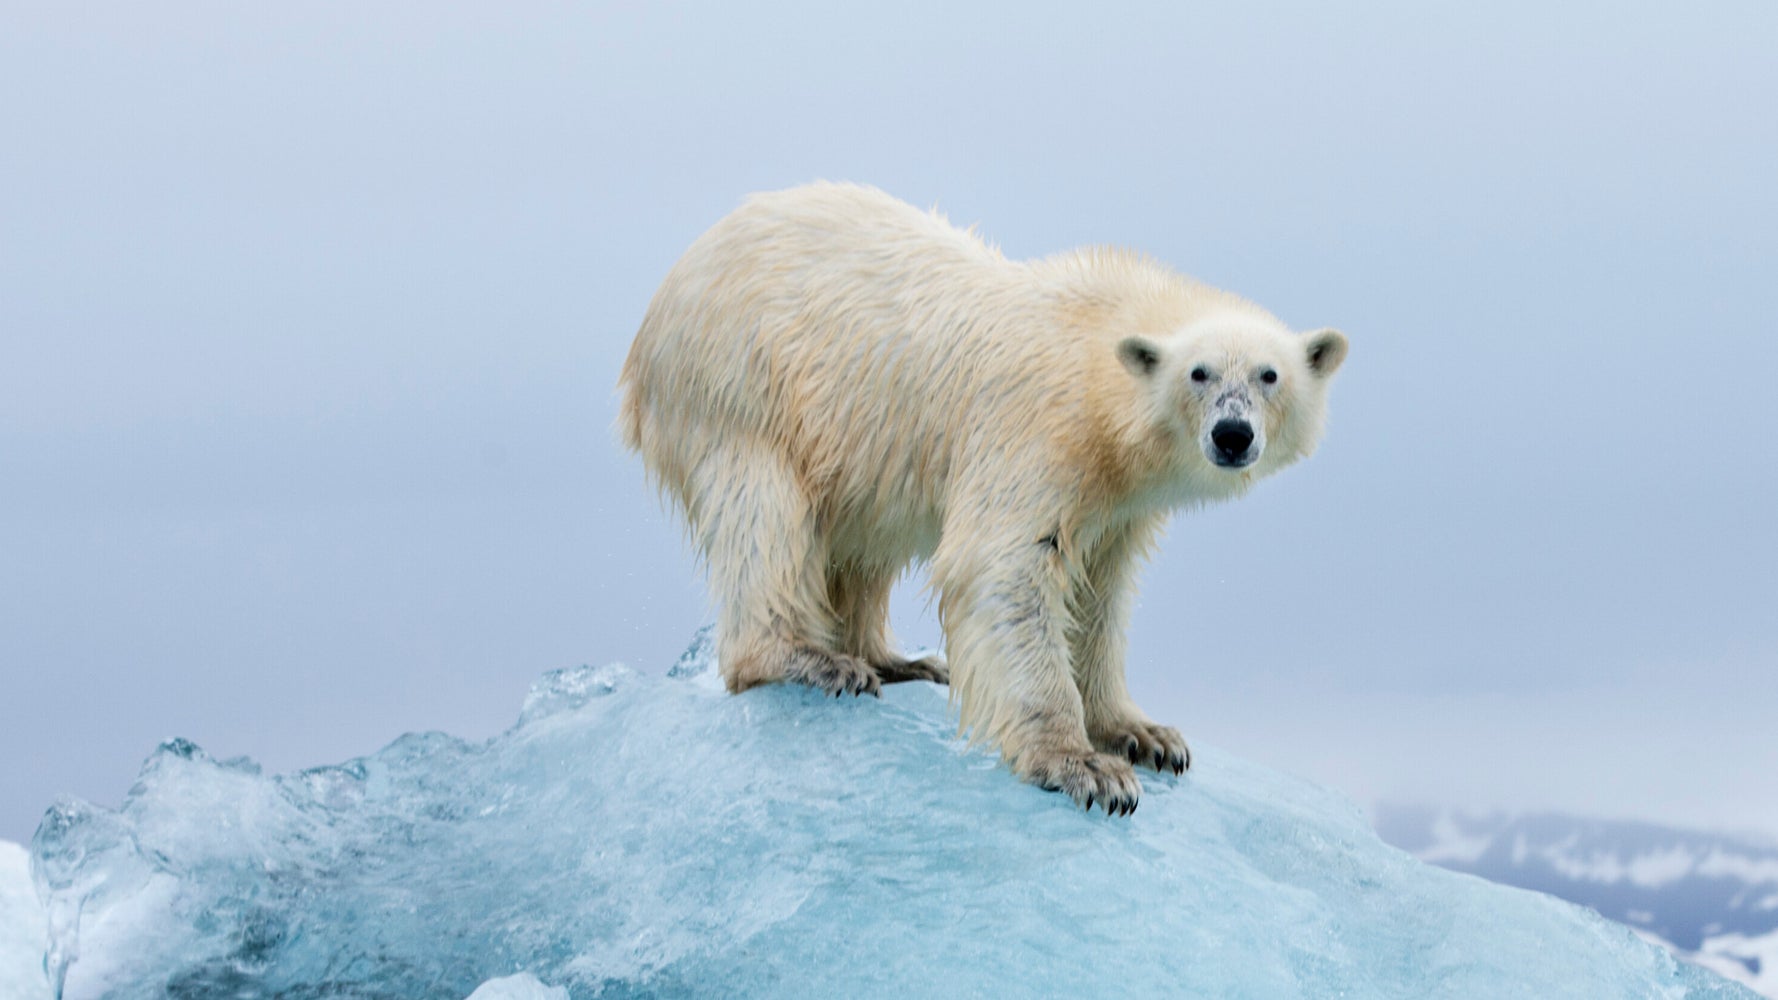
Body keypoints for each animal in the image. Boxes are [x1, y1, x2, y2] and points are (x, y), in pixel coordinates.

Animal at [622, 185, 1344, 811]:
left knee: (859, 543)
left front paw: (1144, 734)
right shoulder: (1037, 432)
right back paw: (810, 660)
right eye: (1199, 373)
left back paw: (896, 659)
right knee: (766, 513)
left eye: (1269, 375)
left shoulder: (1119, 504)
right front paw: (1084, 767)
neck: (1094, 359)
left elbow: (1099, 595)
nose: (1232, 434)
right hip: (743, 385)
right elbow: (1006, 568)